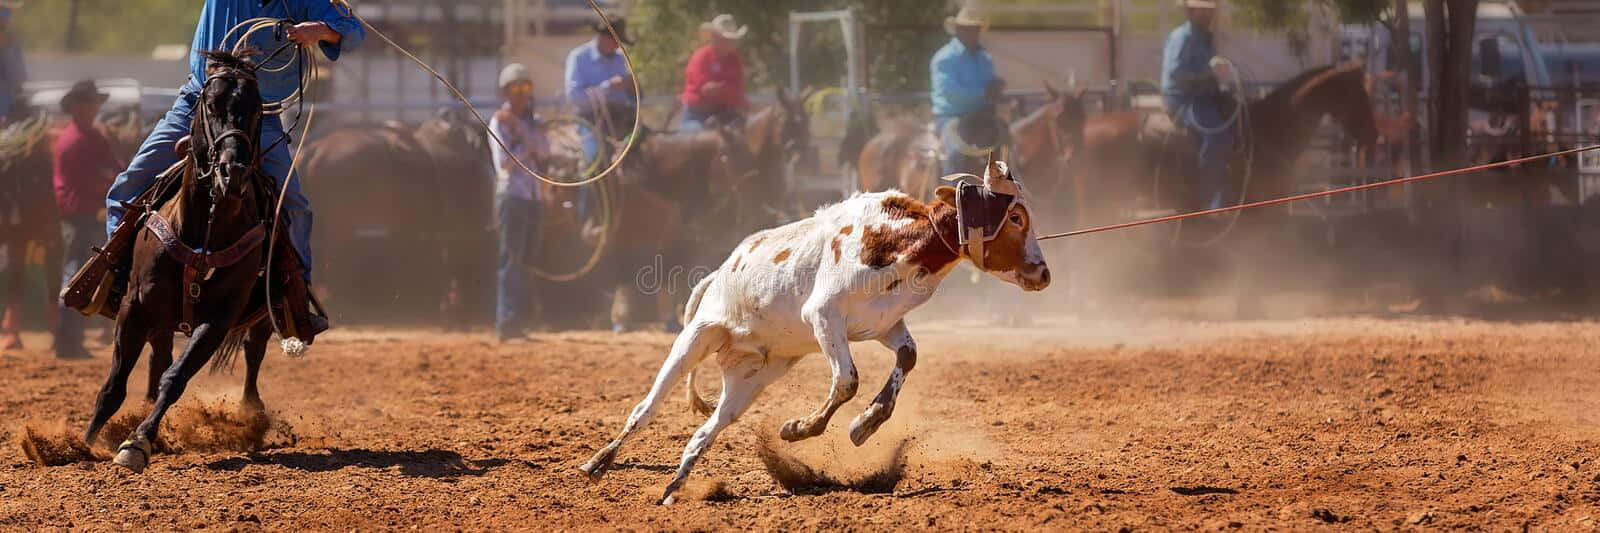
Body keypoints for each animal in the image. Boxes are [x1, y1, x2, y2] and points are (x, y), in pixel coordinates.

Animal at [579, 154, 1049, 502]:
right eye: (1016, 219)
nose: (1043, 274)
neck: (898, 241)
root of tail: (717, 274)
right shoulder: (824, 316)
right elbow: (847, 380)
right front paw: (799, 429)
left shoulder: (885, 324)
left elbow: (907, 357)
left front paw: (865, 424)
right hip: (696, 337)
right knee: (645, 409)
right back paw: (598, 463)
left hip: (752, 378)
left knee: (703, 433)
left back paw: (673, 489)